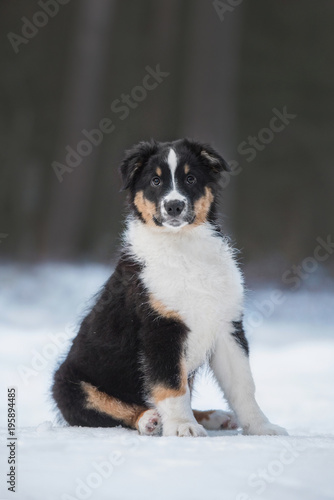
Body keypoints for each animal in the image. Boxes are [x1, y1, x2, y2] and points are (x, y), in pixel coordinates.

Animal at [52, 138, 288, 438]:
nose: (174, 206)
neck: (182, 246)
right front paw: (182, 427)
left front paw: (261, 428)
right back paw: (149, 420)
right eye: (155, 181)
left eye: (190, 178)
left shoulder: (227, 326)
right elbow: (171, 385)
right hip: (69, 385)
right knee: (108, 409)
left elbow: (243, 386)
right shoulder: (160, 328)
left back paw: (213, 417)